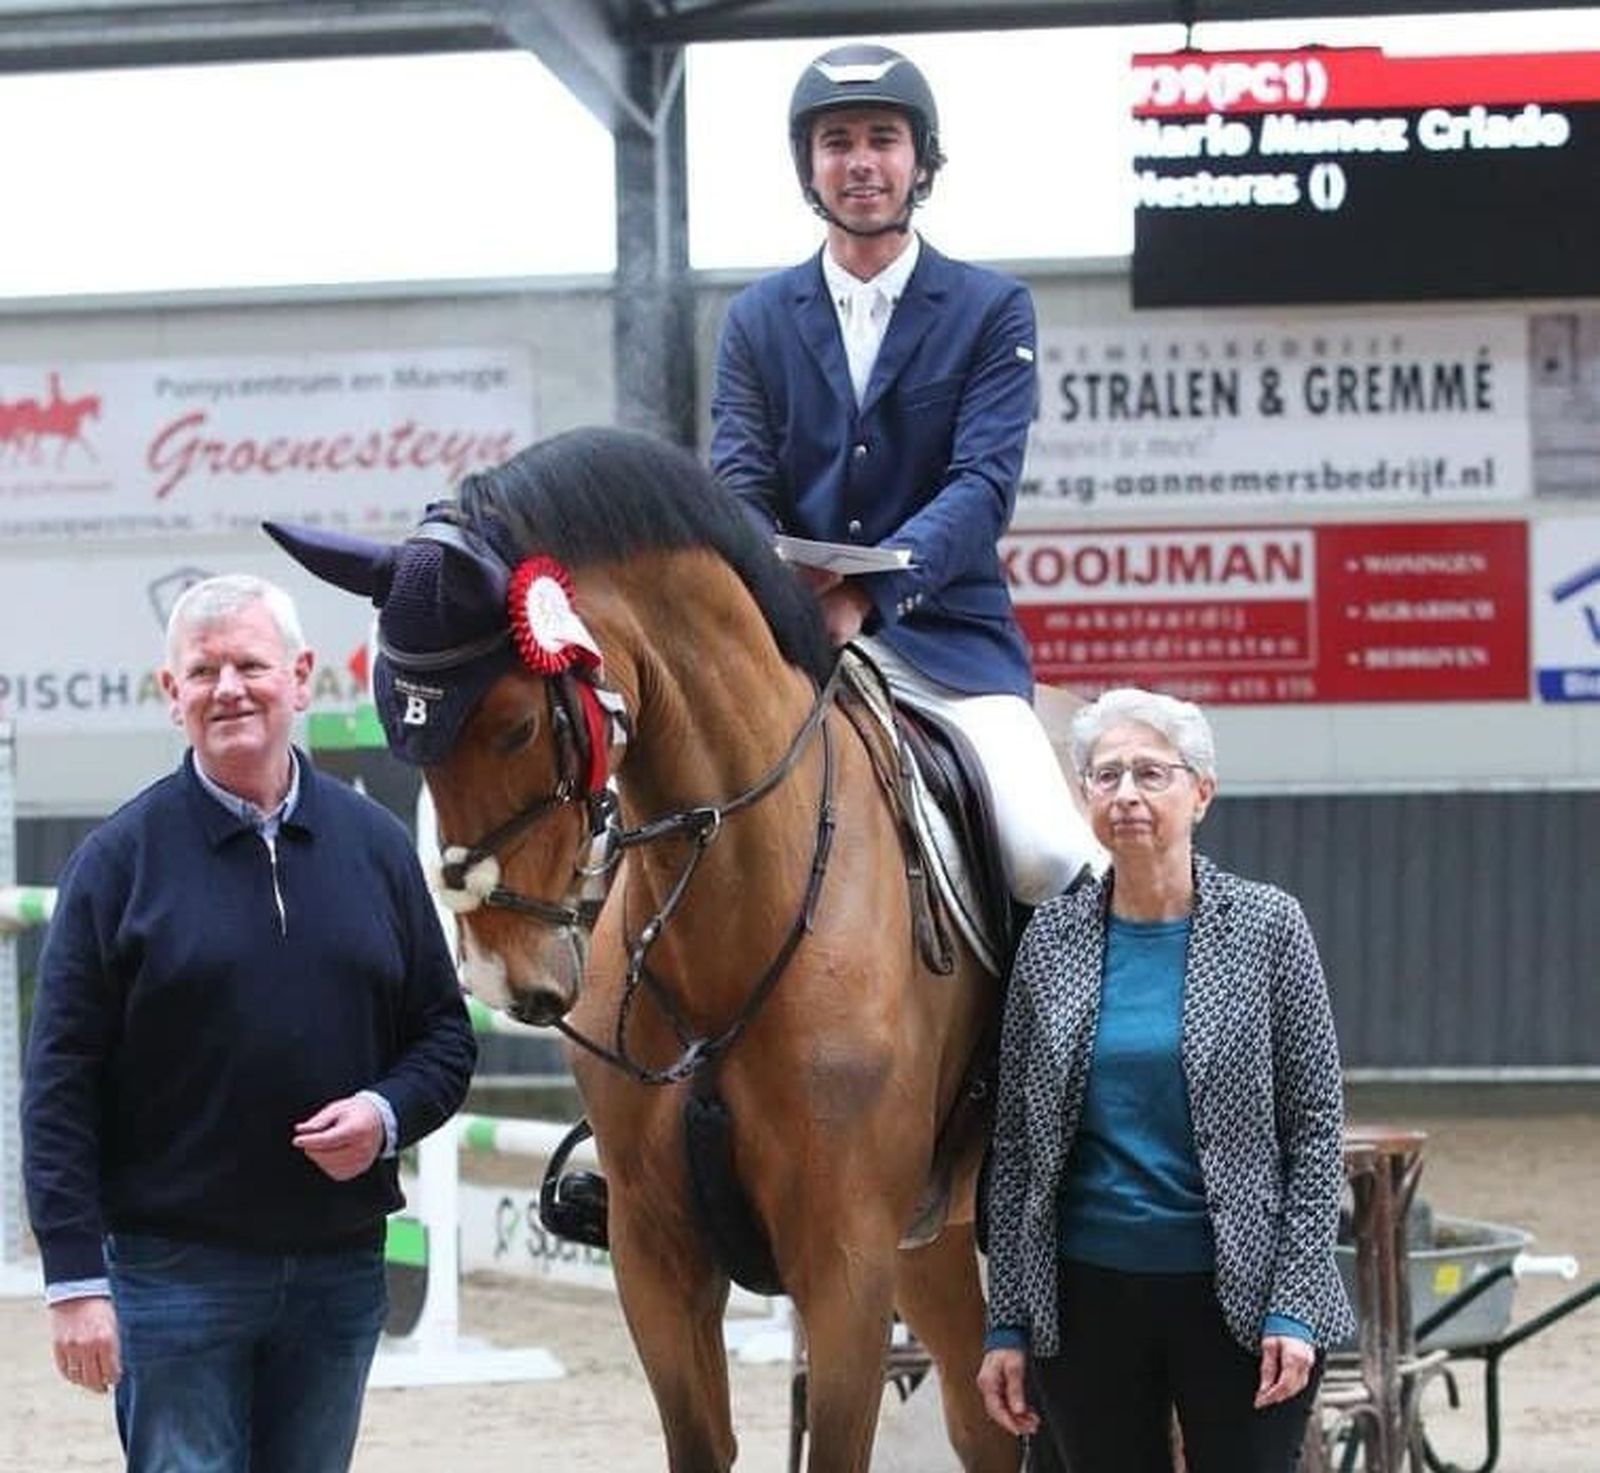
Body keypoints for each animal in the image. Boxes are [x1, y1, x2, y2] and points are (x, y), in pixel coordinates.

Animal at [272, 425, 1021, 1473]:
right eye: (401, 731)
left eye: (515, 725)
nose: (502, 974)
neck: (738, 919)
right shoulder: (656, 1256)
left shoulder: (846, 1261)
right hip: (936, 1240)